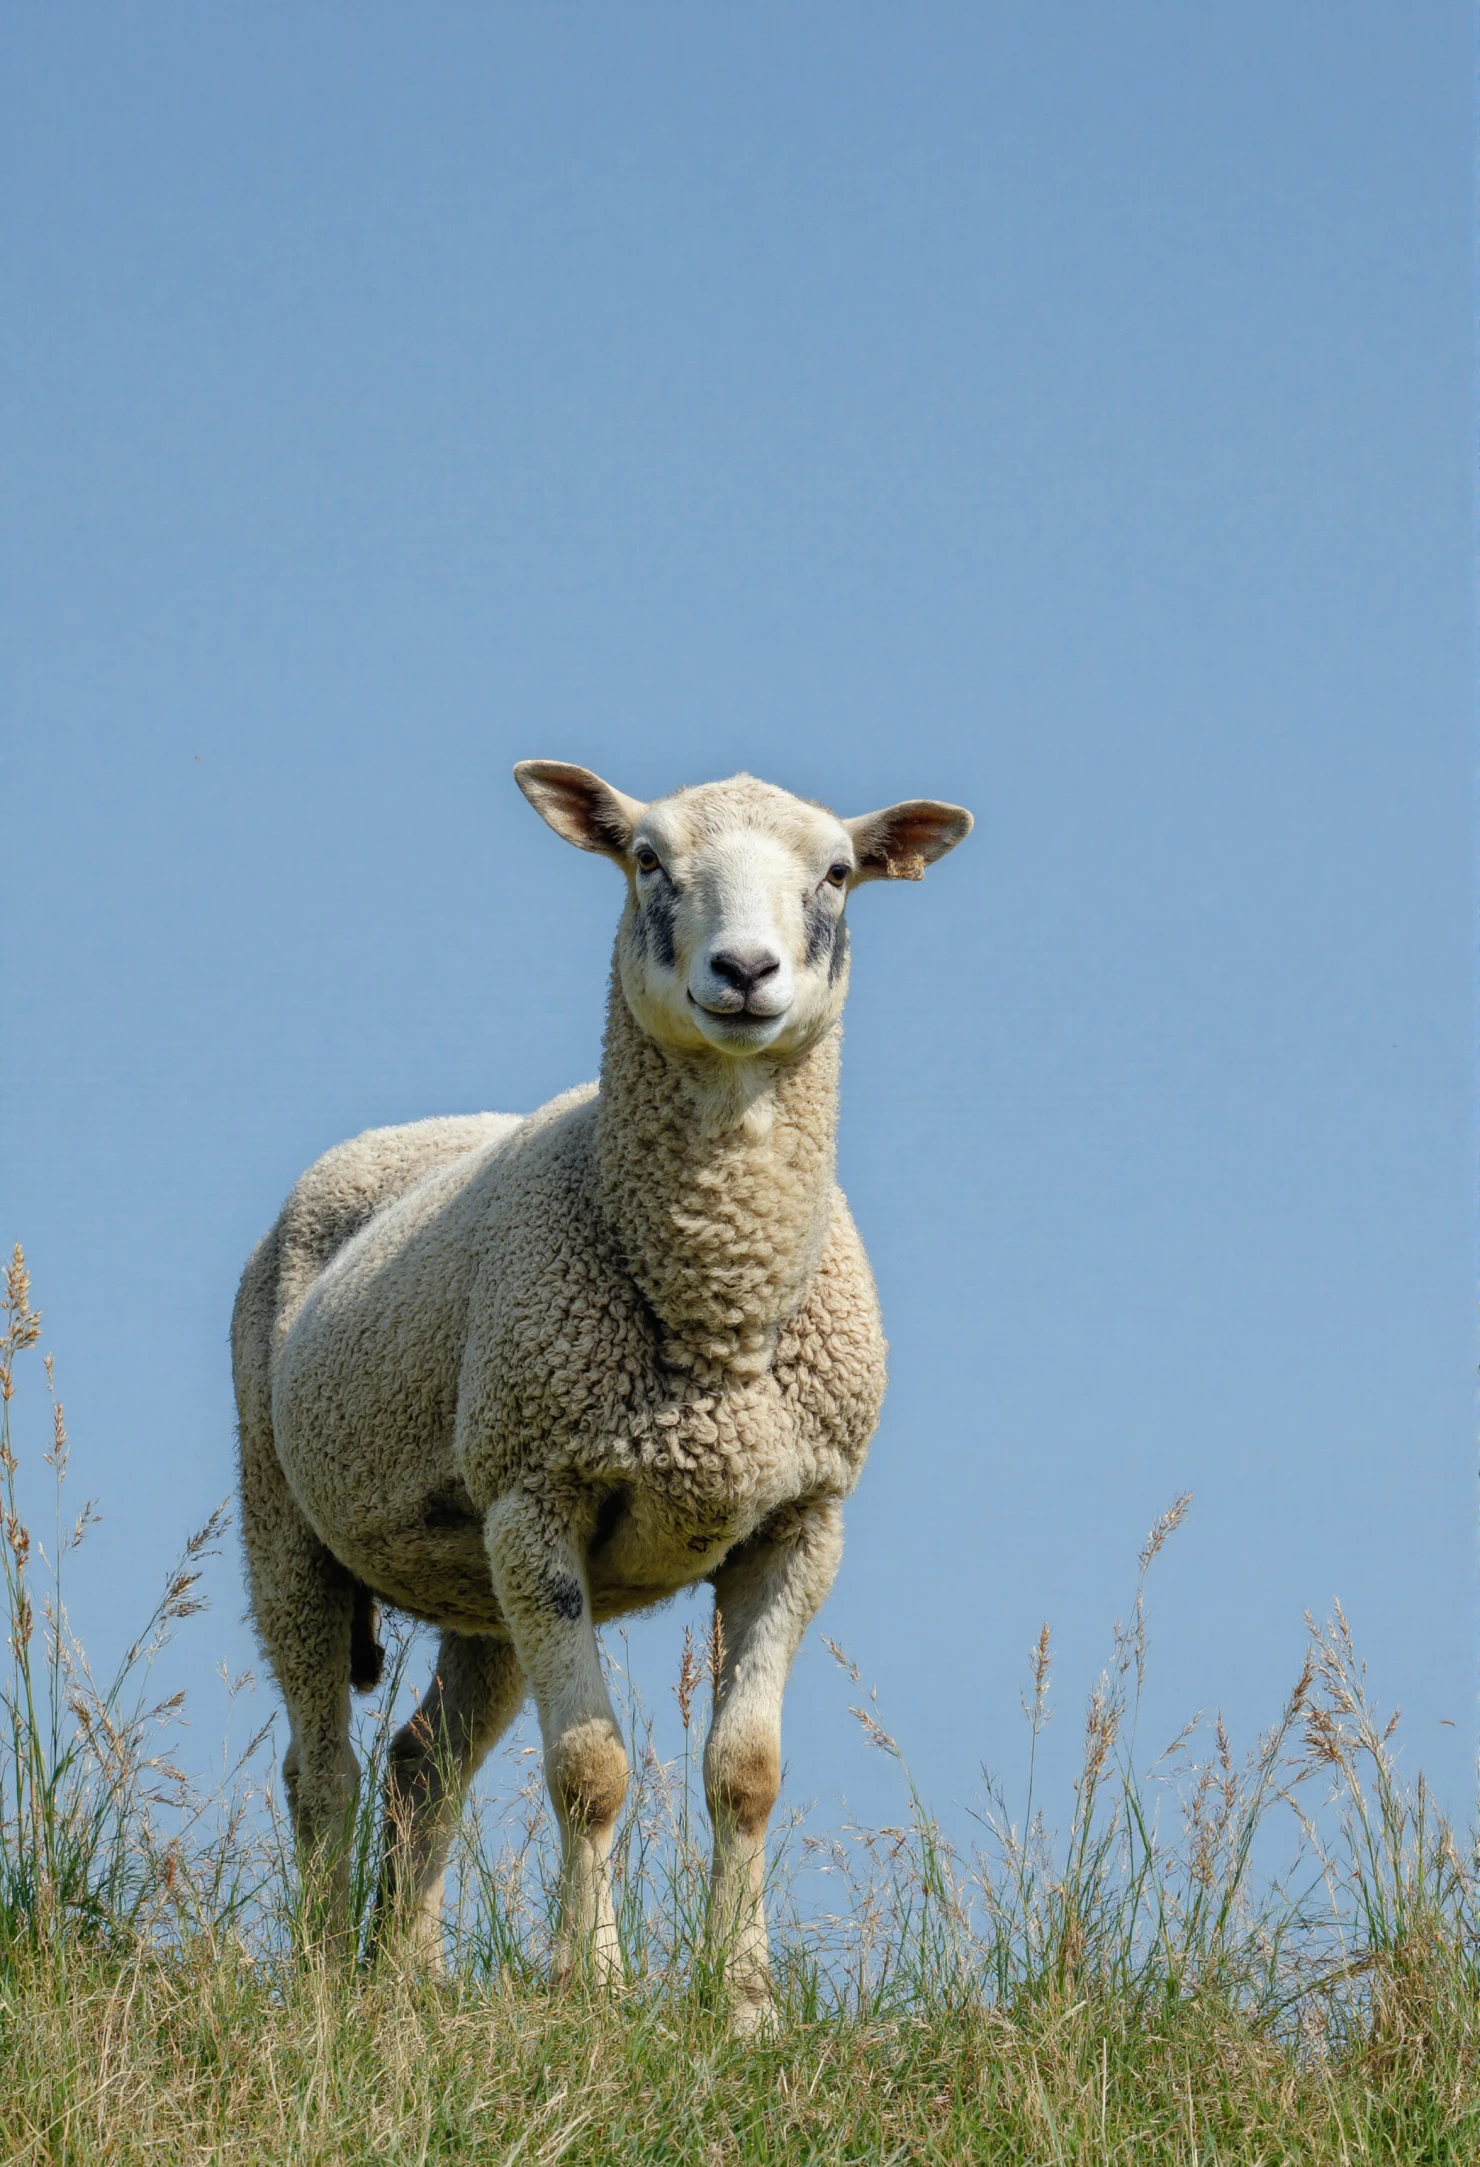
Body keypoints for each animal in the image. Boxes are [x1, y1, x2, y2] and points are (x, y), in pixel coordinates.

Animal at [232, 762, 972, 2030]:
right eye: (645, 857)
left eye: (837, 872)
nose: (744, 973)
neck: (720, 1308)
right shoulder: (543, 1494)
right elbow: (591, 1770)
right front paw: (593, 1986)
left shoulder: (798, 1520)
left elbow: (747, 1774)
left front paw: (745, 2002)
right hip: (290, 1512)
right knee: (320, 1767)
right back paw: (327, 1978)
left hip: (476, 1571)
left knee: (421, 1764)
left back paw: (409, 1983)